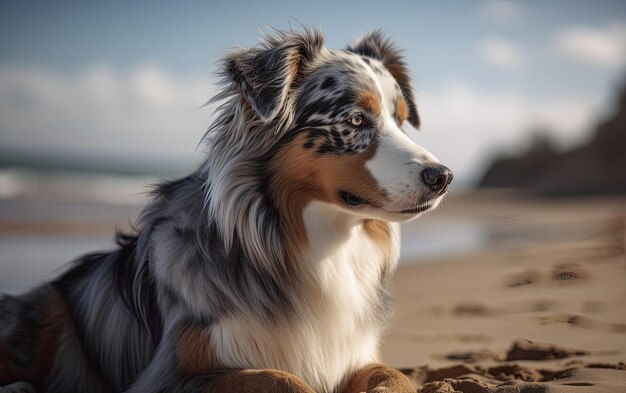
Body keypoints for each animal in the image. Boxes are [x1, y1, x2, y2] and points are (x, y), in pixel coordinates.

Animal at [0, 28, 448, 392]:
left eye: (400, 121)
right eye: (355, 120)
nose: (443, 177)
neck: (318, 247)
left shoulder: (356, 356)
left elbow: (394, 377)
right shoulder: (170, 376)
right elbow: (281, 379)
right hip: (50, 308)